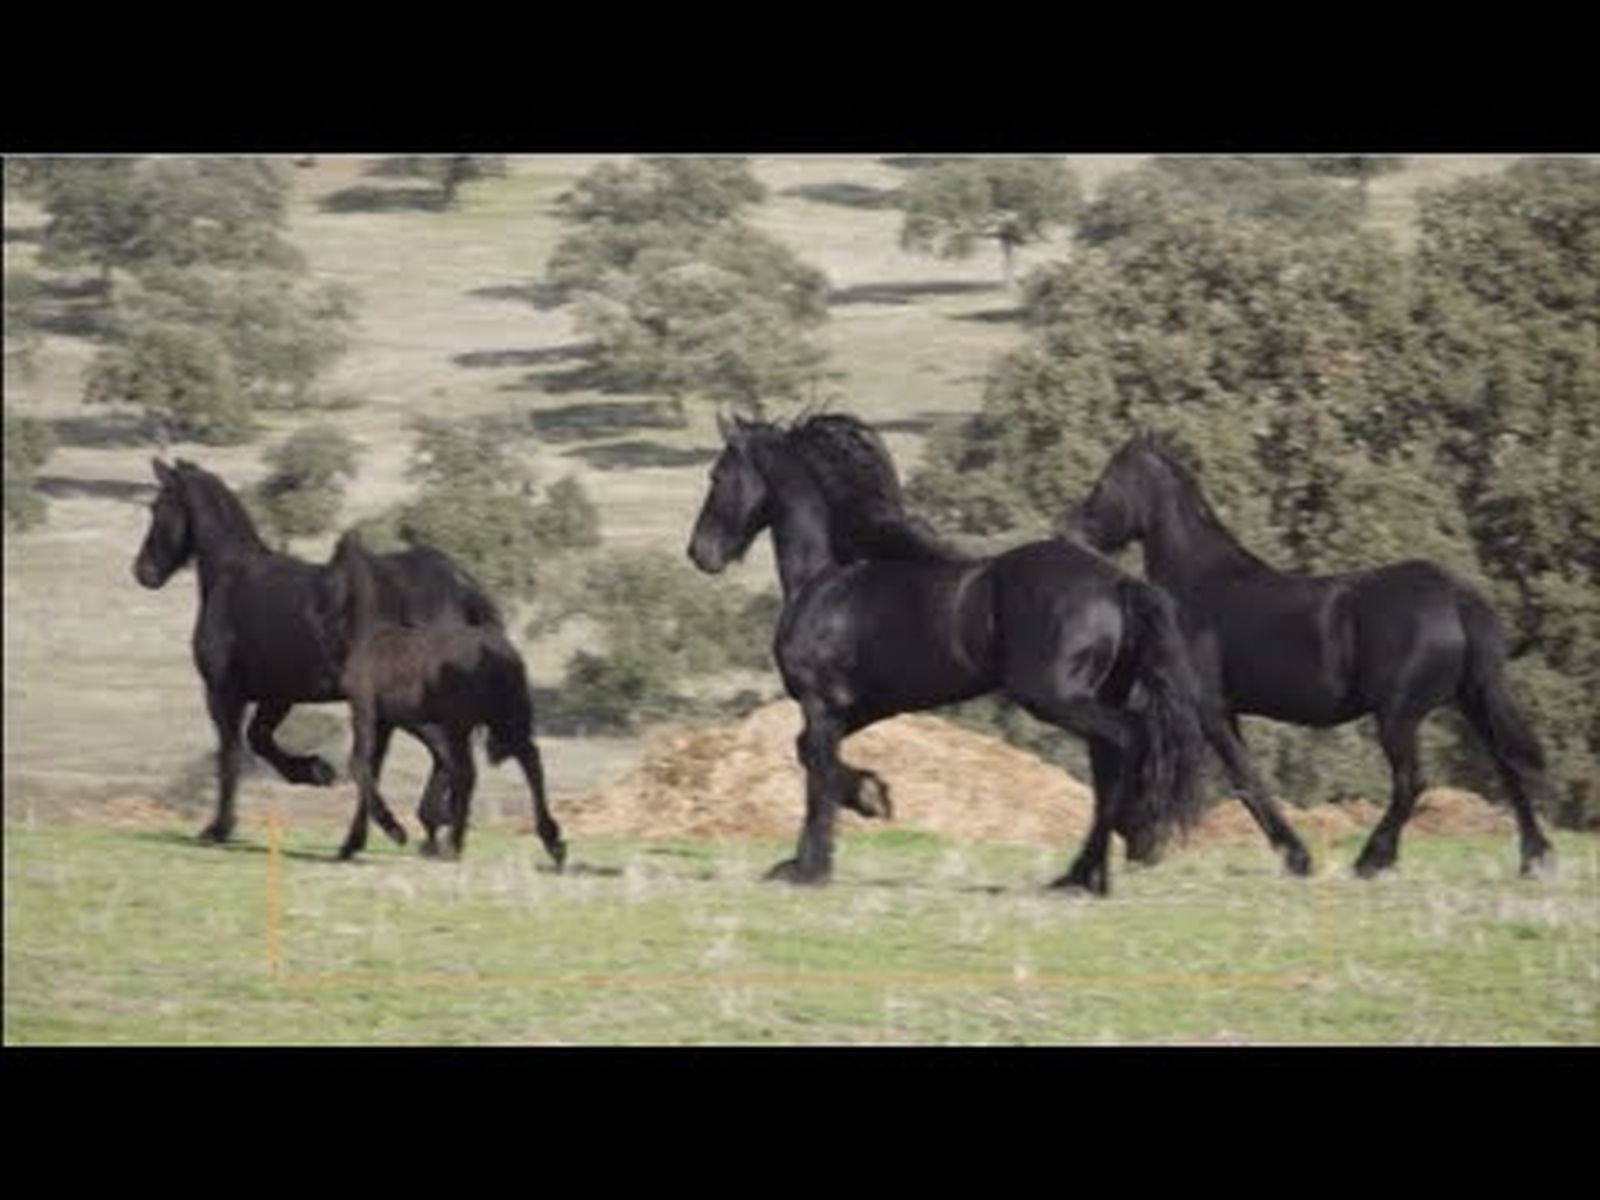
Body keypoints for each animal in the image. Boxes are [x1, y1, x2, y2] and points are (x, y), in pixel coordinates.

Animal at [133, 457, 486, 854]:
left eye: (157, 508)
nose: (143, 571)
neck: (232, 578)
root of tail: (457, 586)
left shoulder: (223, 693)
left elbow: (231, 755)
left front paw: (218, 828)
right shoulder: (278, 695)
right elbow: (259, 739)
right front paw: (316, 771)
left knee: (444, 755)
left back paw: (417, 827)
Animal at [311, 532, 566, 866]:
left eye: (331, 573)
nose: (319, 620)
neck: (374, 635)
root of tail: (503, 653)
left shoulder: (366, 710)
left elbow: (358, 764)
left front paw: (395, 830)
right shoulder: (388, 723)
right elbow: (372, 767)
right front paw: (354, 843)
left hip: (461, 725)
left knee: (470, 771)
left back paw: (454, 843)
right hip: (501, 718)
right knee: (526, 757)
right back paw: (550, 841)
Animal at [687, 414, 1208, 895]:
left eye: (717, 476)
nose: (700, 553)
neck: (825, 583)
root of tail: (1118, 583)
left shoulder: (820, 704)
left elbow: (816, 776)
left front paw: (807, 868)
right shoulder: (860, 708)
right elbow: (811, 759)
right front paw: (871, 799)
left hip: (1056, 699)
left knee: (1129, 739)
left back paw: (1124, 847)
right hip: (1095, 696)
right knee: (1107, 766)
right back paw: (1085, 874)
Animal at [1063, 431, 1556, 878]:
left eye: (1106, 482)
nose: (1073, 533)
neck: (1198, 589)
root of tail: (1455, 596)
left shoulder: (1208, 710)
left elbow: (1246, 780)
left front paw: (1297, 857)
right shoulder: (1225, 713)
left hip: (1398, 716)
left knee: (1410, 783)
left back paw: (1372, 860)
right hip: (1471, 702)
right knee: (1507, 769)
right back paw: (1534, 859)